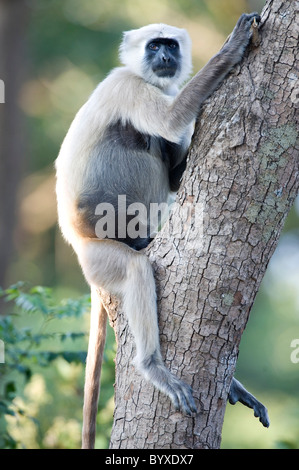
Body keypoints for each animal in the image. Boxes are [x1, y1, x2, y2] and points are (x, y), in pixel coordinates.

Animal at [55, 12, 270, 450]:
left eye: (170, 45)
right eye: (154, 46)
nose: (165, 57)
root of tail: (75, 239)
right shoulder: (127, 84)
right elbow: (169, 121)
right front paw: (233, 46)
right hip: (97, 252)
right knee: (136, 263)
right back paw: (152, 366)